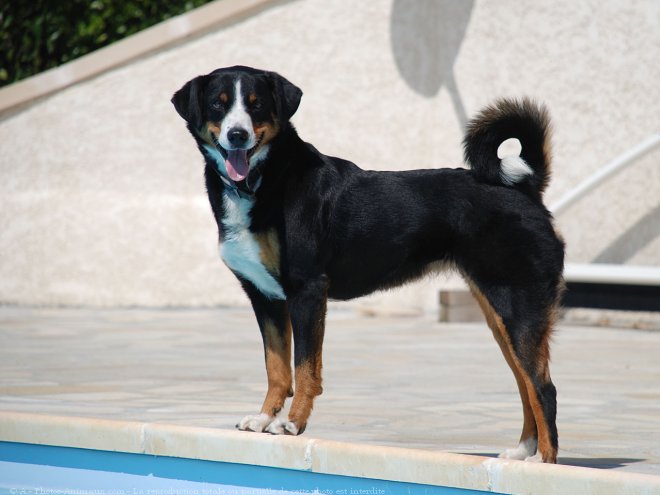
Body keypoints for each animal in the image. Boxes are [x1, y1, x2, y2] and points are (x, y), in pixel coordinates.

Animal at [170, 64, 564, 464]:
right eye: (218, 104)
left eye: (256, 104)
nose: (238, 135)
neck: (262, 181)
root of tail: (524, 188)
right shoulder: (264, 297)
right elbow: (277, 369)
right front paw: (264, 418)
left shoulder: (307, 290)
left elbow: (305, 369)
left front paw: (292, 424)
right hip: (502, 319)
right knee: (525, 384)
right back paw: (522, 451)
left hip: (519, 308)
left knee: (543, 388)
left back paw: (544, 463)